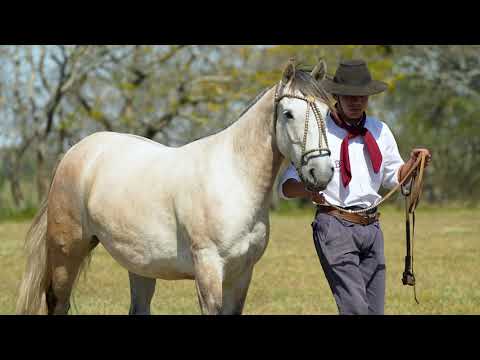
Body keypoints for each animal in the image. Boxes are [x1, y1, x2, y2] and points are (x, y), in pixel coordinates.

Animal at [17, 57, 334, 314]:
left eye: (328, 112)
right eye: (288, 113)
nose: (322, 172)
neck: (234, 180)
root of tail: (75, 153)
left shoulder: (242, 273)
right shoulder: (208, 269)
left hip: (139, 262)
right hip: (67, 252)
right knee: (58, 301)